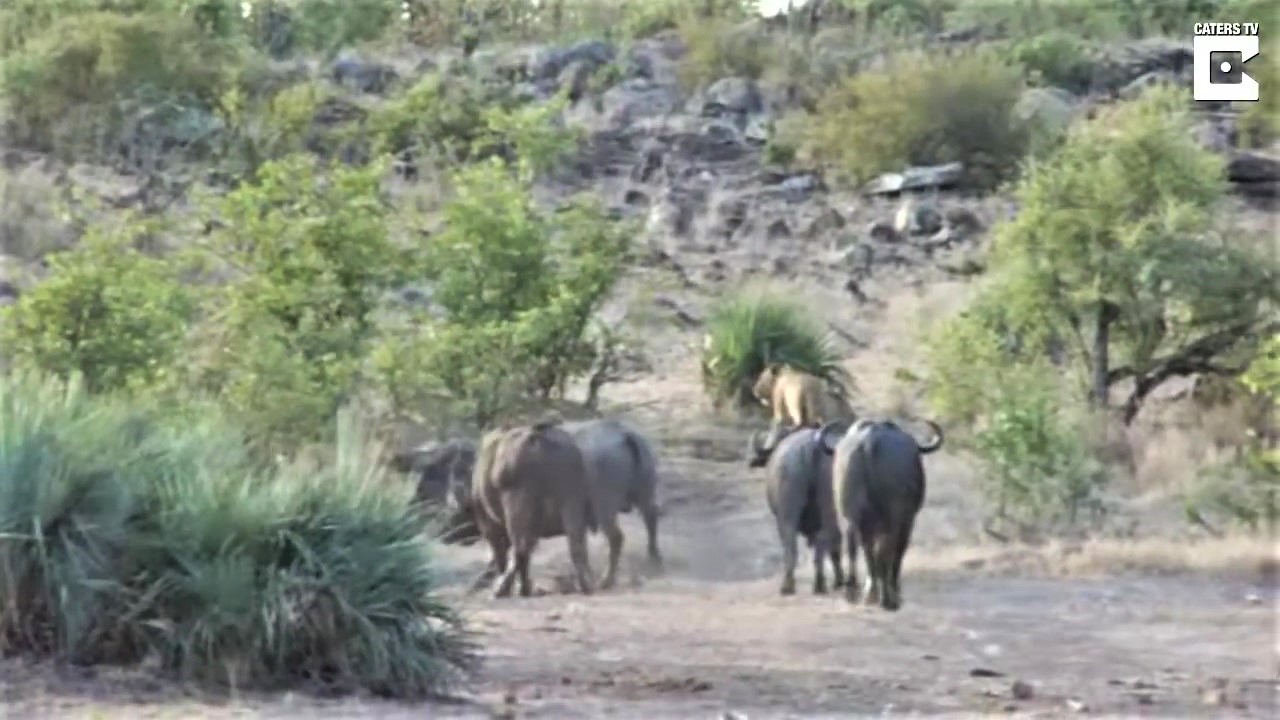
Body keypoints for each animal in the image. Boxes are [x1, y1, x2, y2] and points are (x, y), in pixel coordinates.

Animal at [742, 420, 849, 594]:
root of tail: (812, 448)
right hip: (823, 509)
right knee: (822, 542)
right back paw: (820, 583)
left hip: (792, 513)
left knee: (794, 544)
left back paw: (796, 584)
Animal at [819, 417, 942, 607]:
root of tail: (871, 441)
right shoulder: (908, 521)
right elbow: (897, 552)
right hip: (894, 517)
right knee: (886, 549)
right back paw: (887, 597)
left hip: (851, 515)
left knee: (856, 546)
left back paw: (856, 591)